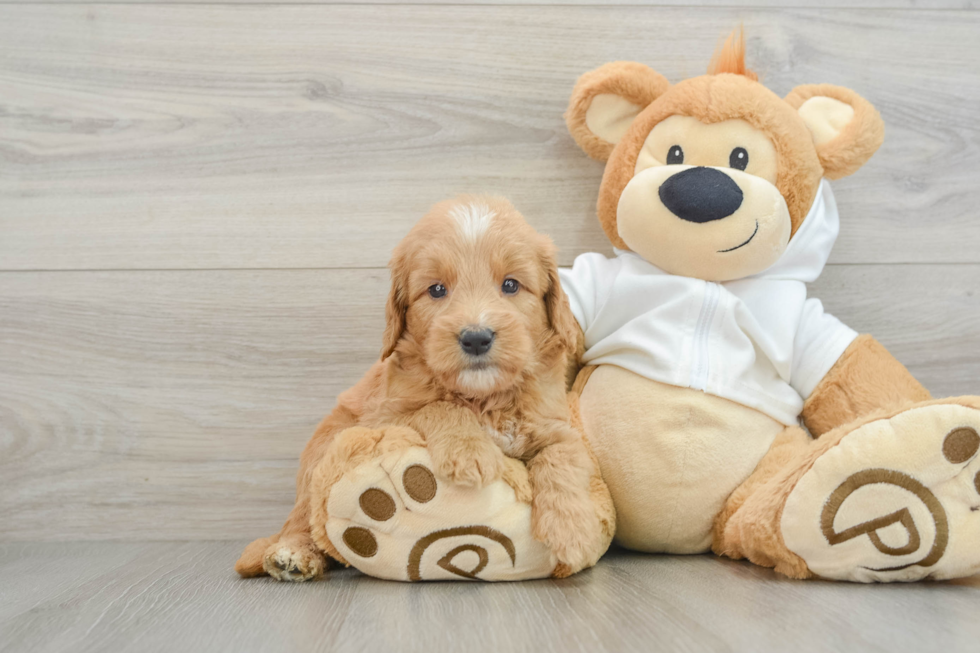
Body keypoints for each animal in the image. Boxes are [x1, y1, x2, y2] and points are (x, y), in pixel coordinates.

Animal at [237, 196, 604, 580]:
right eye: (437, 289)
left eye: (511, 285)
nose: (476, 338)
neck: (484, 397)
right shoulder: (386, 415)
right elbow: (437, 406)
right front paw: (469, 451)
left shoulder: (555, 423)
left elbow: (564, 457)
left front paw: (574, 530)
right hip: (320, 456)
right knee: (303, 518)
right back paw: (293, 554)